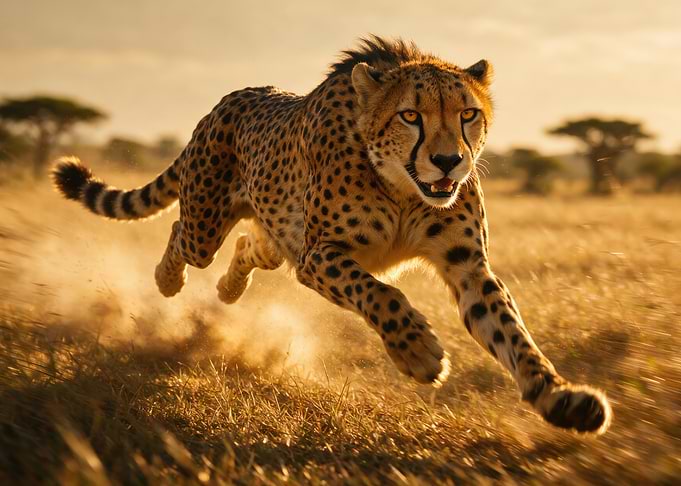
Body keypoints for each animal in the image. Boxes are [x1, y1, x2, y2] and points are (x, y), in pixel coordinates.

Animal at [52, 37, 611, 434]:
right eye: (411, 115)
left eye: (468, 114)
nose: (449, 161)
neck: (403, 187)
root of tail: (232, 96)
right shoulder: (320, 256)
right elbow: (381, 294)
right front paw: (417, 352)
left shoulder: (467, 265)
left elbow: (512, 334)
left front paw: (561, 398)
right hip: (208, 224)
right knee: (181, 233)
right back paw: (168, 280)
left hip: (277, 234)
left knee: (248, 246)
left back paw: (229, 290)